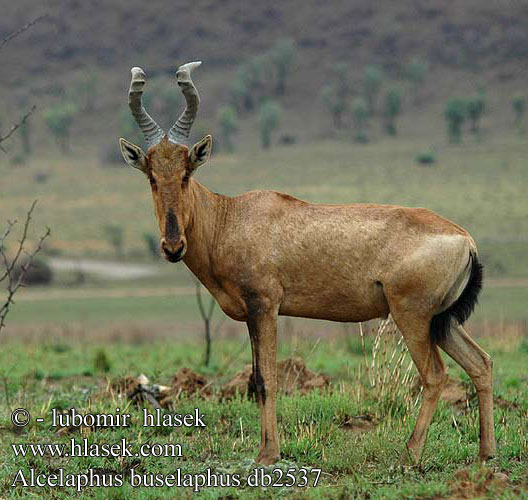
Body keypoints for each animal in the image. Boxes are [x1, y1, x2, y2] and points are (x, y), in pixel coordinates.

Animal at [118, 61, 496, 464]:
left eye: (187, 172)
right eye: (152, 175)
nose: (173, 246)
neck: (231, 216)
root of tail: (466, 239)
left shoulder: (265, 306)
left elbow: (266, 378)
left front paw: (269, 454)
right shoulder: (253, 314)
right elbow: (256, 378)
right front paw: (264, 450)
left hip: (413, 316)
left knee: (435, 375)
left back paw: (409, 454)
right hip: (443, 320)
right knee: (481, 363)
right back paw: (485, 453)